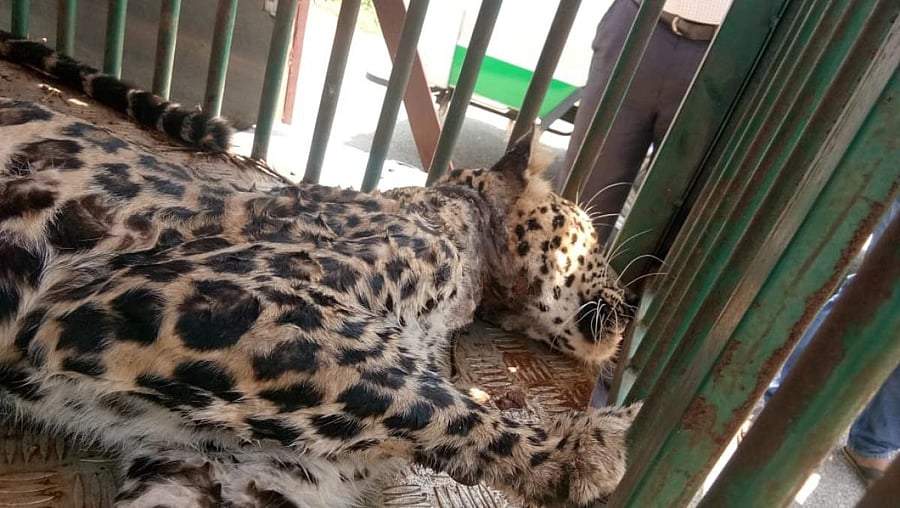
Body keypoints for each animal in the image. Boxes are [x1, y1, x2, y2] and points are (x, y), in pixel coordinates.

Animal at [0, 33, 639, 508]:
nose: (632, 304)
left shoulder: (236, 465)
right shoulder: (194, 293)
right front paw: (580, 449)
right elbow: (407, 386)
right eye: (589, 234)